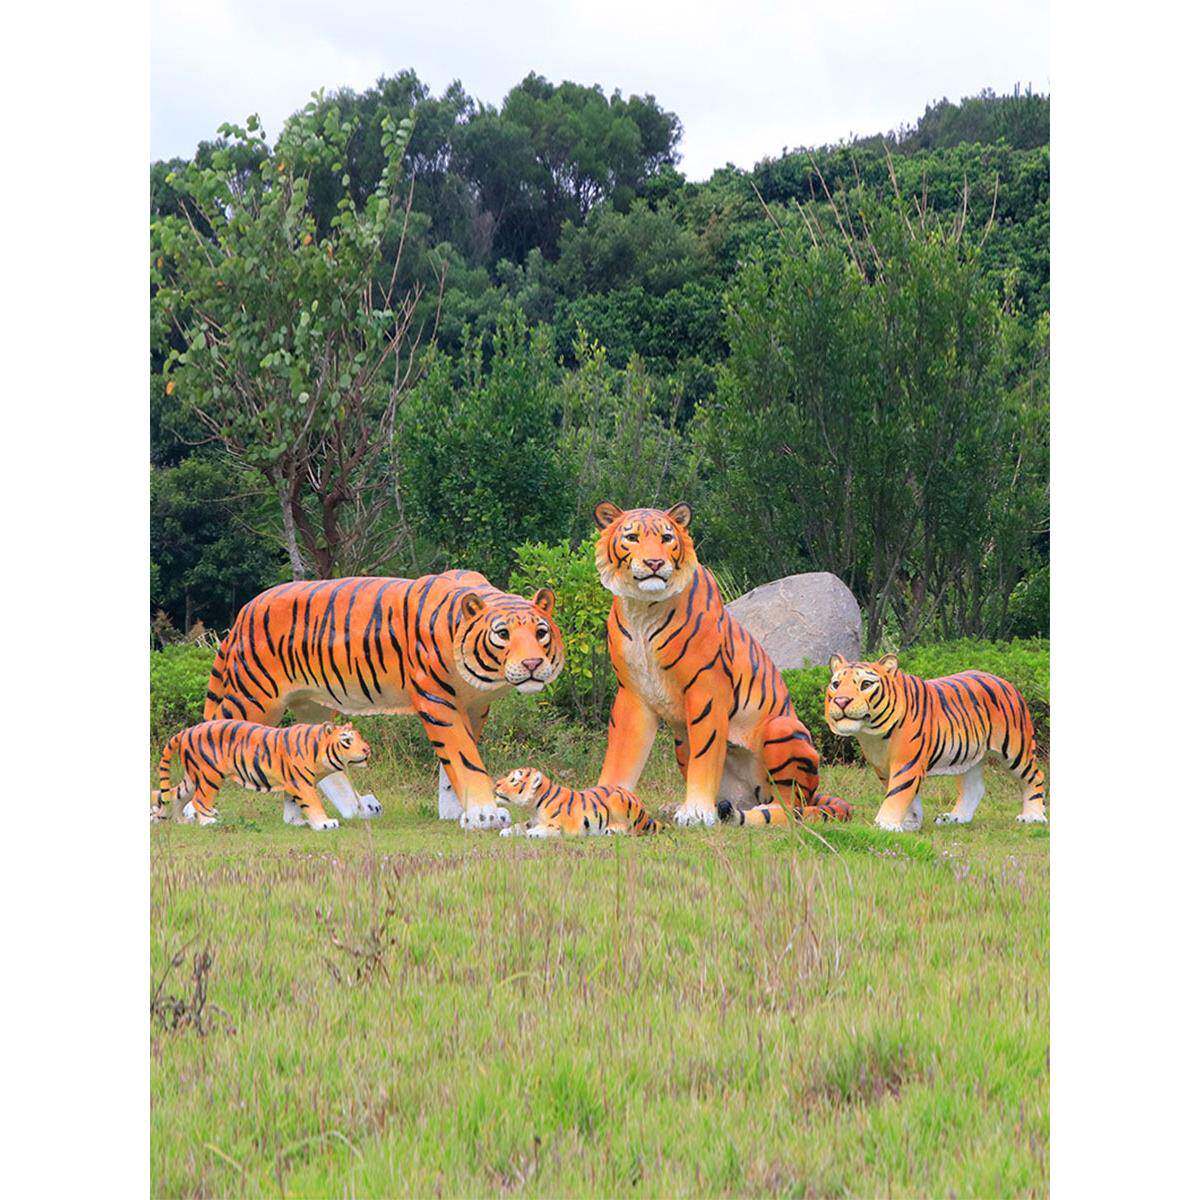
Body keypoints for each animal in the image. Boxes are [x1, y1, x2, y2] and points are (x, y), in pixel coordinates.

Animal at [151, 720, 371, 830]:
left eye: (359, 736)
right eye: (347, 740)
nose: (367, 749)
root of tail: (187, 730)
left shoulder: (292, 783)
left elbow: (292, 805)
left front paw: (295, 822)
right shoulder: (302, 783)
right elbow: (313, 803)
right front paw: (325, 823)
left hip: (193, 777)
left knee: (174, 795)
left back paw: (178, 820)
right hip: (209, 776)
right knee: (199, 801)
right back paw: (208, 822)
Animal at [203, 571, 563, 831]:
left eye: (541, 632)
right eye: (502, 634)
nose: (533, 663)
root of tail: (243, 613)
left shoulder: (474, 708)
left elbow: (455, 765)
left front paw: (456, 813)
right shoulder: (437, 701)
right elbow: (463, 756)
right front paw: (485, 813)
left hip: (310, 704)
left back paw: (327, 813)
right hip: (253, 698)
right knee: (212, 733)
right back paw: (198, 813)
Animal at [494, 767, 662, 838]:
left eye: (514, 780)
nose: (496, 784)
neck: (534, 807)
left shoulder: (561, 826)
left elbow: (546, 829)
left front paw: (533, 833)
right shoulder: (532, 820)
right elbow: (519, 825)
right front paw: (506, 831)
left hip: (616, 798)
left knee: (632, 830)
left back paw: (611, 830)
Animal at [592, 501, 850, 828]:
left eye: (666, 538)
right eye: (632, 538)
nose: (654, 563)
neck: (643, 608)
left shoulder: (706, 690)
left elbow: (705, 754)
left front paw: (695, 812)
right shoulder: (633, 693)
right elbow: (620, 755)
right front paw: (601, 800)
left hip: (782, 729)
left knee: (792, 808)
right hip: (682, 742)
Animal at [825, 653, 1047, 832]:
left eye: (866, 684)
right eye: (836, 684)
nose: (841, 701)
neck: (872, 734)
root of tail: (1006, 682)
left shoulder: (907, 763)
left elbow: (898, 793)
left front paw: (885, 825)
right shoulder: (883, 767)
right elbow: (907, 797)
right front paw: (910, 823)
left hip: (1016, 750)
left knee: (1035, 777)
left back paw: (1033, 817)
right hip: (971, 757)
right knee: (974, 788)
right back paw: (955, 818)